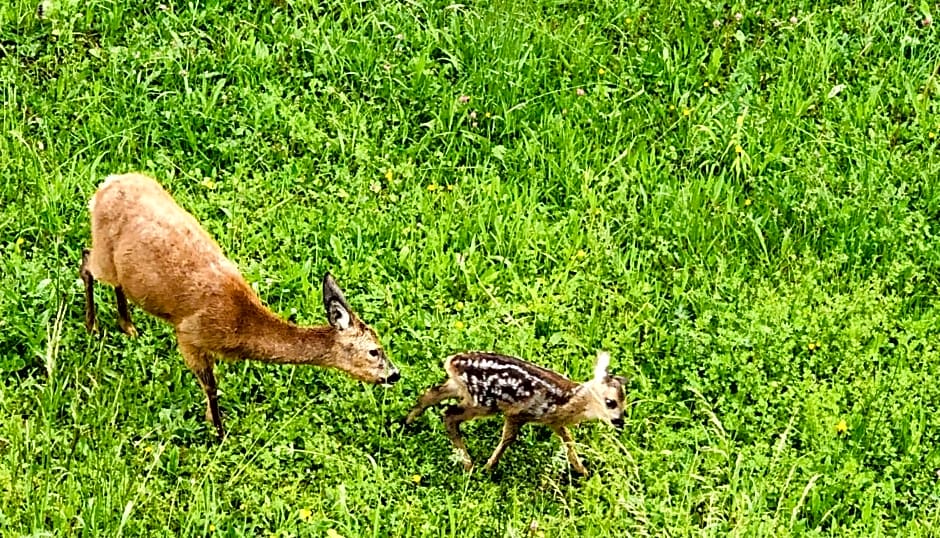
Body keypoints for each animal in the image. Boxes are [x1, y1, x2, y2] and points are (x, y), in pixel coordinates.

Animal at [81, 171, 400, 436]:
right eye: (374, 351)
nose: (395, 374)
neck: (239, 324)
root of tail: (104, 185)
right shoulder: (189, 334)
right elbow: (211, 386)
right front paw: (219, 433)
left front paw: (211, 422)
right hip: (103, 252)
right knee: (86, 261)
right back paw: (93, 326)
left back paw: (128, 325)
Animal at [404, 350, 624, 472]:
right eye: (610, 402)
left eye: (625, 402)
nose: (620, 422)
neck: (566, 399)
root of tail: (451, 362)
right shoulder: (518, 413)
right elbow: (508, 438)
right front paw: (489, 467)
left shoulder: (553, 421)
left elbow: (568, 439)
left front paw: (583, 471)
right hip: (483, 402)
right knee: (449, 415)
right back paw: (469, 465)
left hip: (462, 390)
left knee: (430, 394)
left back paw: (407, 422)